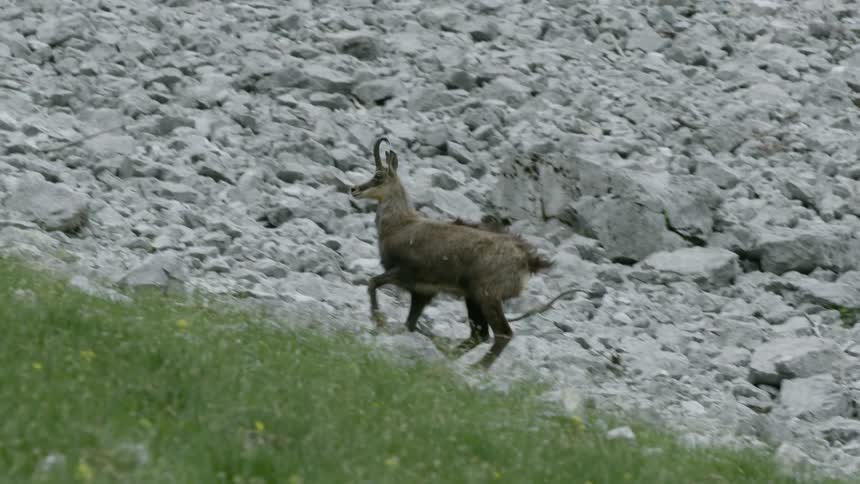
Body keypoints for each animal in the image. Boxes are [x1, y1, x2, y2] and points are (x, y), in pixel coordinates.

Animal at [349, 137, 583, 369]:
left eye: (378, 176)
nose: (354, 189)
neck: (399, 225)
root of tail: (527, 259)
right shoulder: (422, 291)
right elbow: (410, 323)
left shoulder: (404, 272)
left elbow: (372, 283)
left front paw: (379, 322)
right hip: (473, 298)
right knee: (480, 333)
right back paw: (450, 356)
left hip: (486, 295)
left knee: (502, 333)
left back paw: (476, 367)